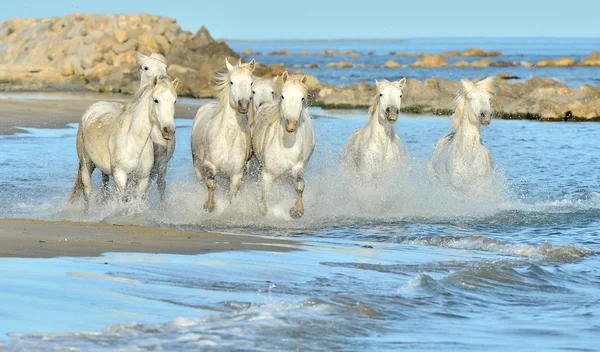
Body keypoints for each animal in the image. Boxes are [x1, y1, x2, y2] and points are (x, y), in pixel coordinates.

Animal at [191, 58, 254, 212]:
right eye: (231, 82)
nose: (243, 105)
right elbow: (211, 184)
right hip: (197, 165)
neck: (227, 138)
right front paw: (209, 206)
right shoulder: (209, 165)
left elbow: (233, 193)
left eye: (251, 83)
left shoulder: (236, 174)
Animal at [251, 71, 314, 219]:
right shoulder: (267, 172)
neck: (286, 145)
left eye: (302, 98)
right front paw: (263, 210)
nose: (291, 125)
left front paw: (297, 211)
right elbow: (264, 192)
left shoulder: (297, 168)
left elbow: (300, 185)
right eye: (283, 96)